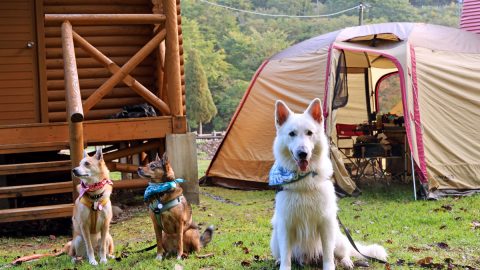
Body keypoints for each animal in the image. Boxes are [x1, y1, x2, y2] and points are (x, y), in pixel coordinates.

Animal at [270, 98, 386, 268]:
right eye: (292, 134)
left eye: (309, 133)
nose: (302, 153)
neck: (304, 181)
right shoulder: (285, 225)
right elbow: (286, 257)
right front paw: (283, 265)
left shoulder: (326, 223)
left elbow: (328, 255)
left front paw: (330, 266)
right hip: (275, 238)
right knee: (284, 254)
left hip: (337, 236)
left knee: (343, 252)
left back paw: (346, 261)